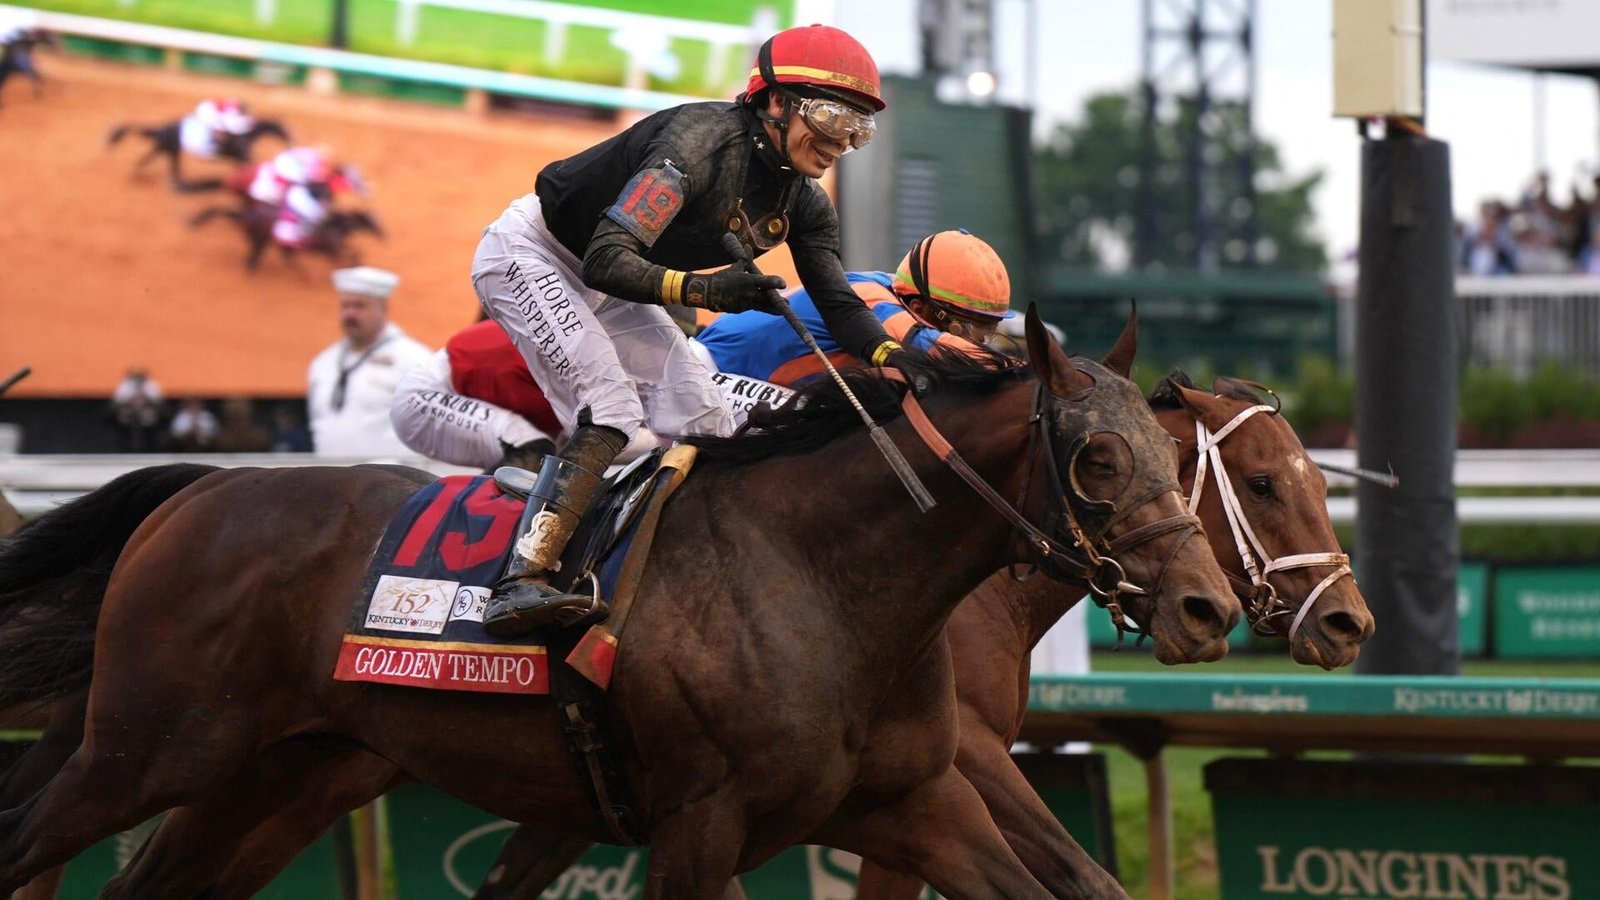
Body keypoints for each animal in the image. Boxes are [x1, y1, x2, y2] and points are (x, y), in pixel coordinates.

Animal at [0, 311, 1241, 899]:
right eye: (1095, 459)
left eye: (1169, 458)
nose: (1207, 611)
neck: (826, 580)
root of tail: (200, 490)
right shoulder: (699, 824)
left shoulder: (915, 800)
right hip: (145, 749)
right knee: (27, 842)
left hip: (274, 776)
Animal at [105, 118, 290, 192]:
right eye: (283, 129)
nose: (291, 139)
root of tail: (161, 129)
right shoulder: (237, 155)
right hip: (172, 151)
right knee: (169, 168)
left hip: (164, 149)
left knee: (146, 159)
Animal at [190, 200, 383, 270]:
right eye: (371, 222)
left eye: (376, 222)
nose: (384, 234)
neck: (337, 224)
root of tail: (245, 213)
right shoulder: (332, 249)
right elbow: (348, 255)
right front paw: (354, 265)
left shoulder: (333, 248)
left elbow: (352, 251)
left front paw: (357, 263)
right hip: (260, 239)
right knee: (255, 257)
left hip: (267, 241)